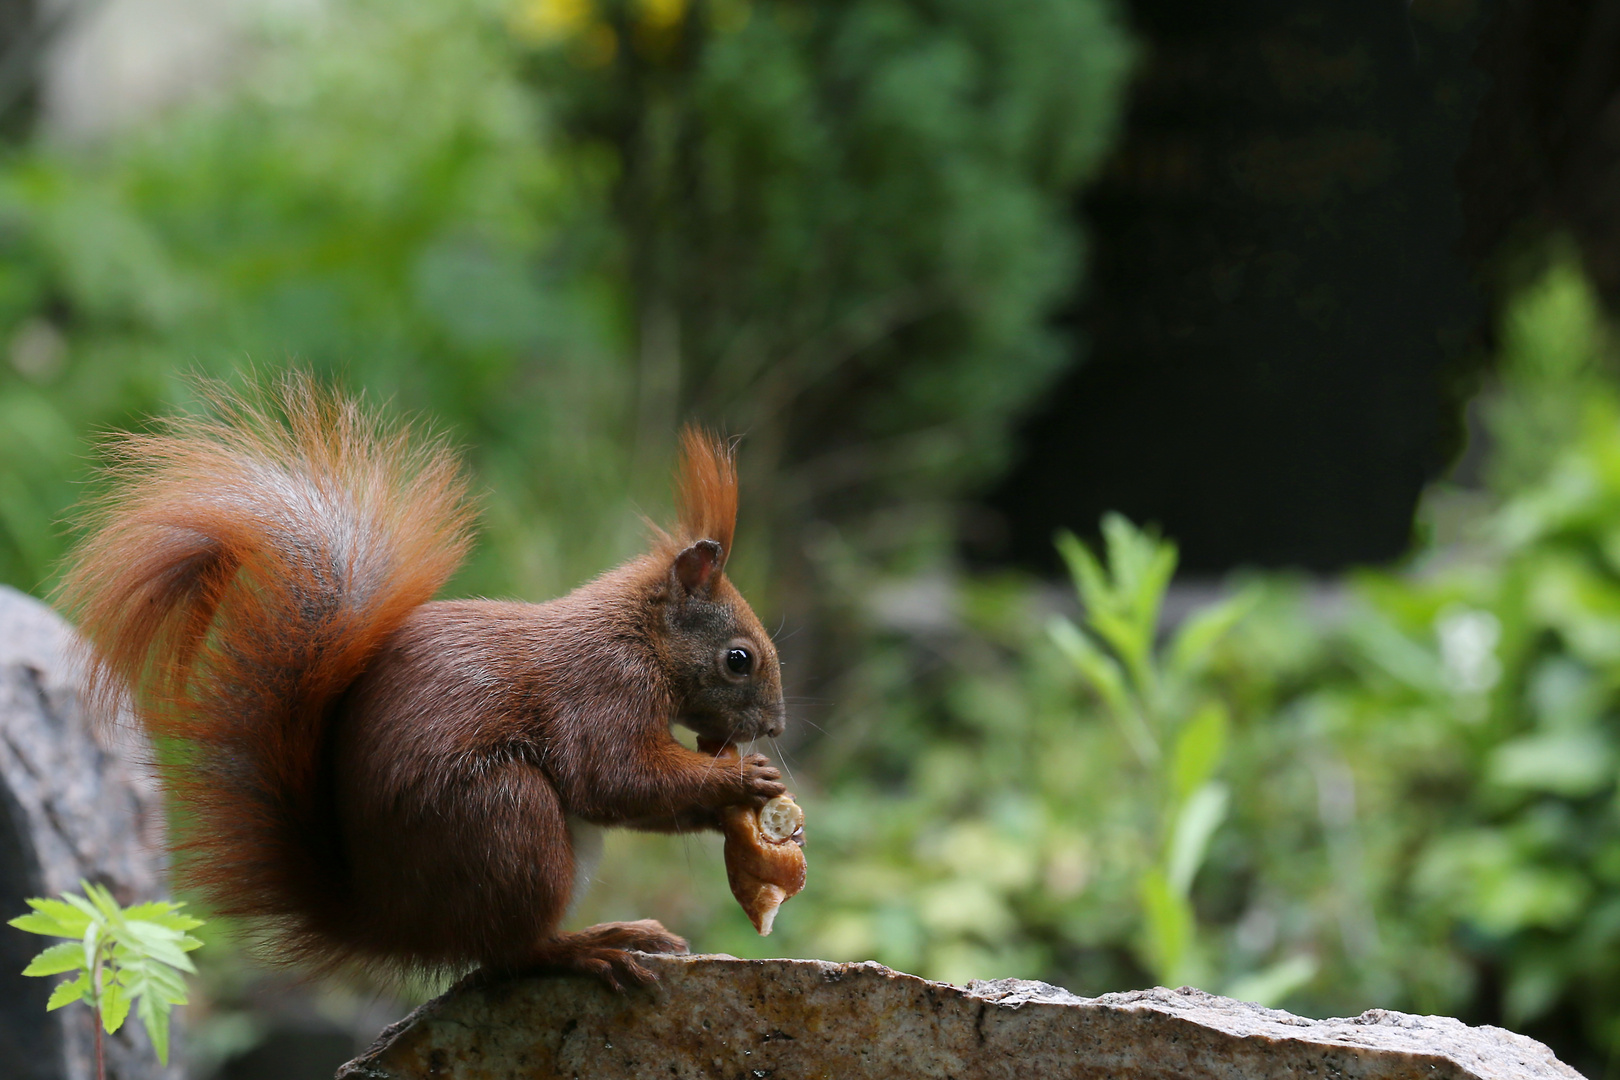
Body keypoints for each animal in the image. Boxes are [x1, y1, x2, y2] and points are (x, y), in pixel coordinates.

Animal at [61, 378, 790, 990]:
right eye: (739, 659)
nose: (775, 727)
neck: (638, 639)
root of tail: (390, 921)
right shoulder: (603, 693)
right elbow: (616, 777)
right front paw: (742, 780)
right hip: (506, 818)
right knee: (511, 953)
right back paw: (592, 947)